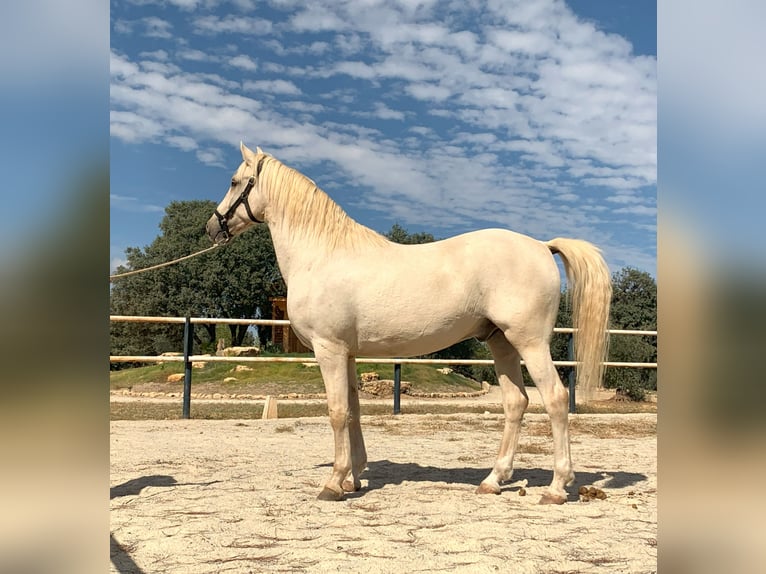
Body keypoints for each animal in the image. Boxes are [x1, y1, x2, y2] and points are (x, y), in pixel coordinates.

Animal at [208, 145, 612, 508]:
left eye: (234, 181)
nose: (213, 226)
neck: (322, 255)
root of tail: (542, 246)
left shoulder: (330, 349)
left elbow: (337, 412)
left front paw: (334, 483)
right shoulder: (348, 354)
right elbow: (354, 411)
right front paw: (354, 478)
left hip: (530, 343)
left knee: (555, 399)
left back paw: (557, 487)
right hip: (502, 344)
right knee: (516, 403)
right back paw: (493, 481)